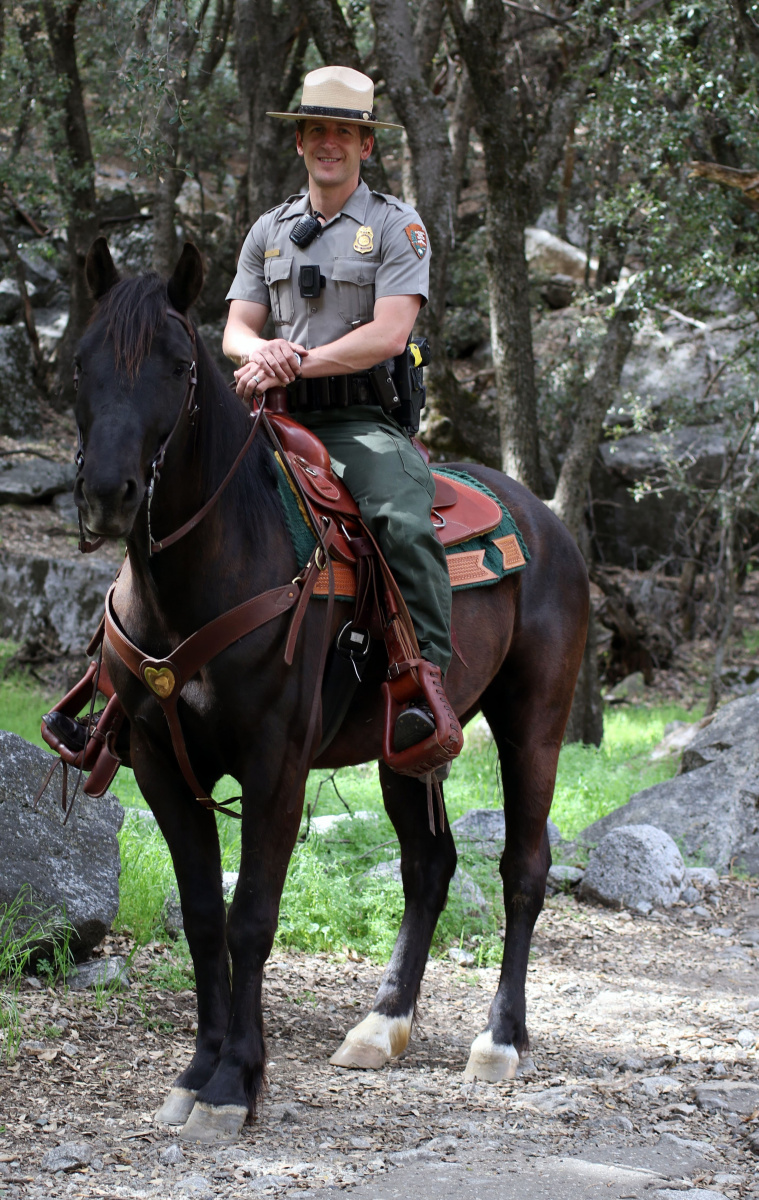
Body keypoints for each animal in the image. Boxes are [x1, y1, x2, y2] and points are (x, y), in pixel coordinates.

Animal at [71, 236, 590, 1142]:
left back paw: (499, 1041)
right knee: (428, 866)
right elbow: (203, 918)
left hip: (535, 722)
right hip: (407, 745)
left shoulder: (275, 765)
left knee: (522, 869)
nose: (107, 494)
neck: (205, 568)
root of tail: (546, 523)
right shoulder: (164, 771)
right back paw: (381, 1026)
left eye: (176, 364)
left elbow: (251, 916)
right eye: (81, 360)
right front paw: (196, 1072)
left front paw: (234, 1084)